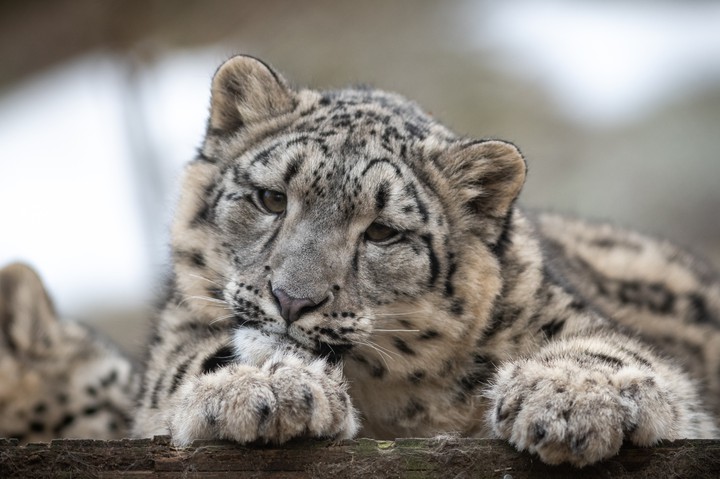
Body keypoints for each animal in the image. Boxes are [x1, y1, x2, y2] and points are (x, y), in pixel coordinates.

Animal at [130, 55, 720, 467]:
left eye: (382, 232)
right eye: (272, 198)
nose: (292, 299)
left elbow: (621, 354)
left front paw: (570, 400)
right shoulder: (176, 340)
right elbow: (189, 365)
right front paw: (265, 389)